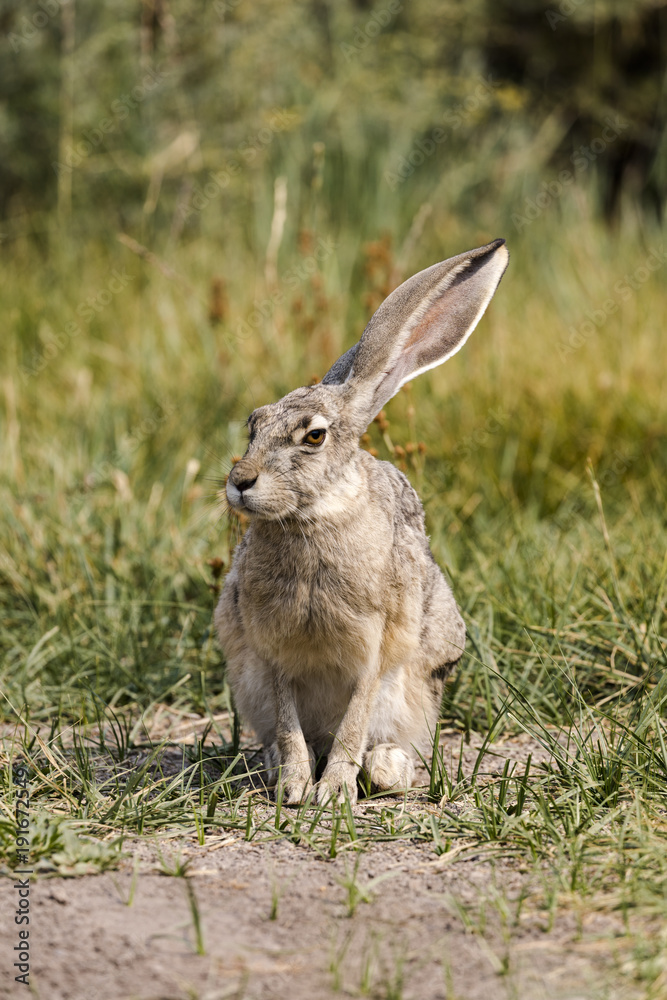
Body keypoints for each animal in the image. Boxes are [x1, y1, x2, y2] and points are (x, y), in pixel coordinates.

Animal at [215, 238, 509, 805]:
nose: (240, 481)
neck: (310, 518)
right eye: (253, 425)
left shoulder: (373, 649)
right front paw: (295, 786)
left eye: (314, 436)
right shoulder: (271, 651)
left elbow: (355, 719)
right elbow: (289, 724)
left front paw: (331, 792)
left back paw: (384, 768)